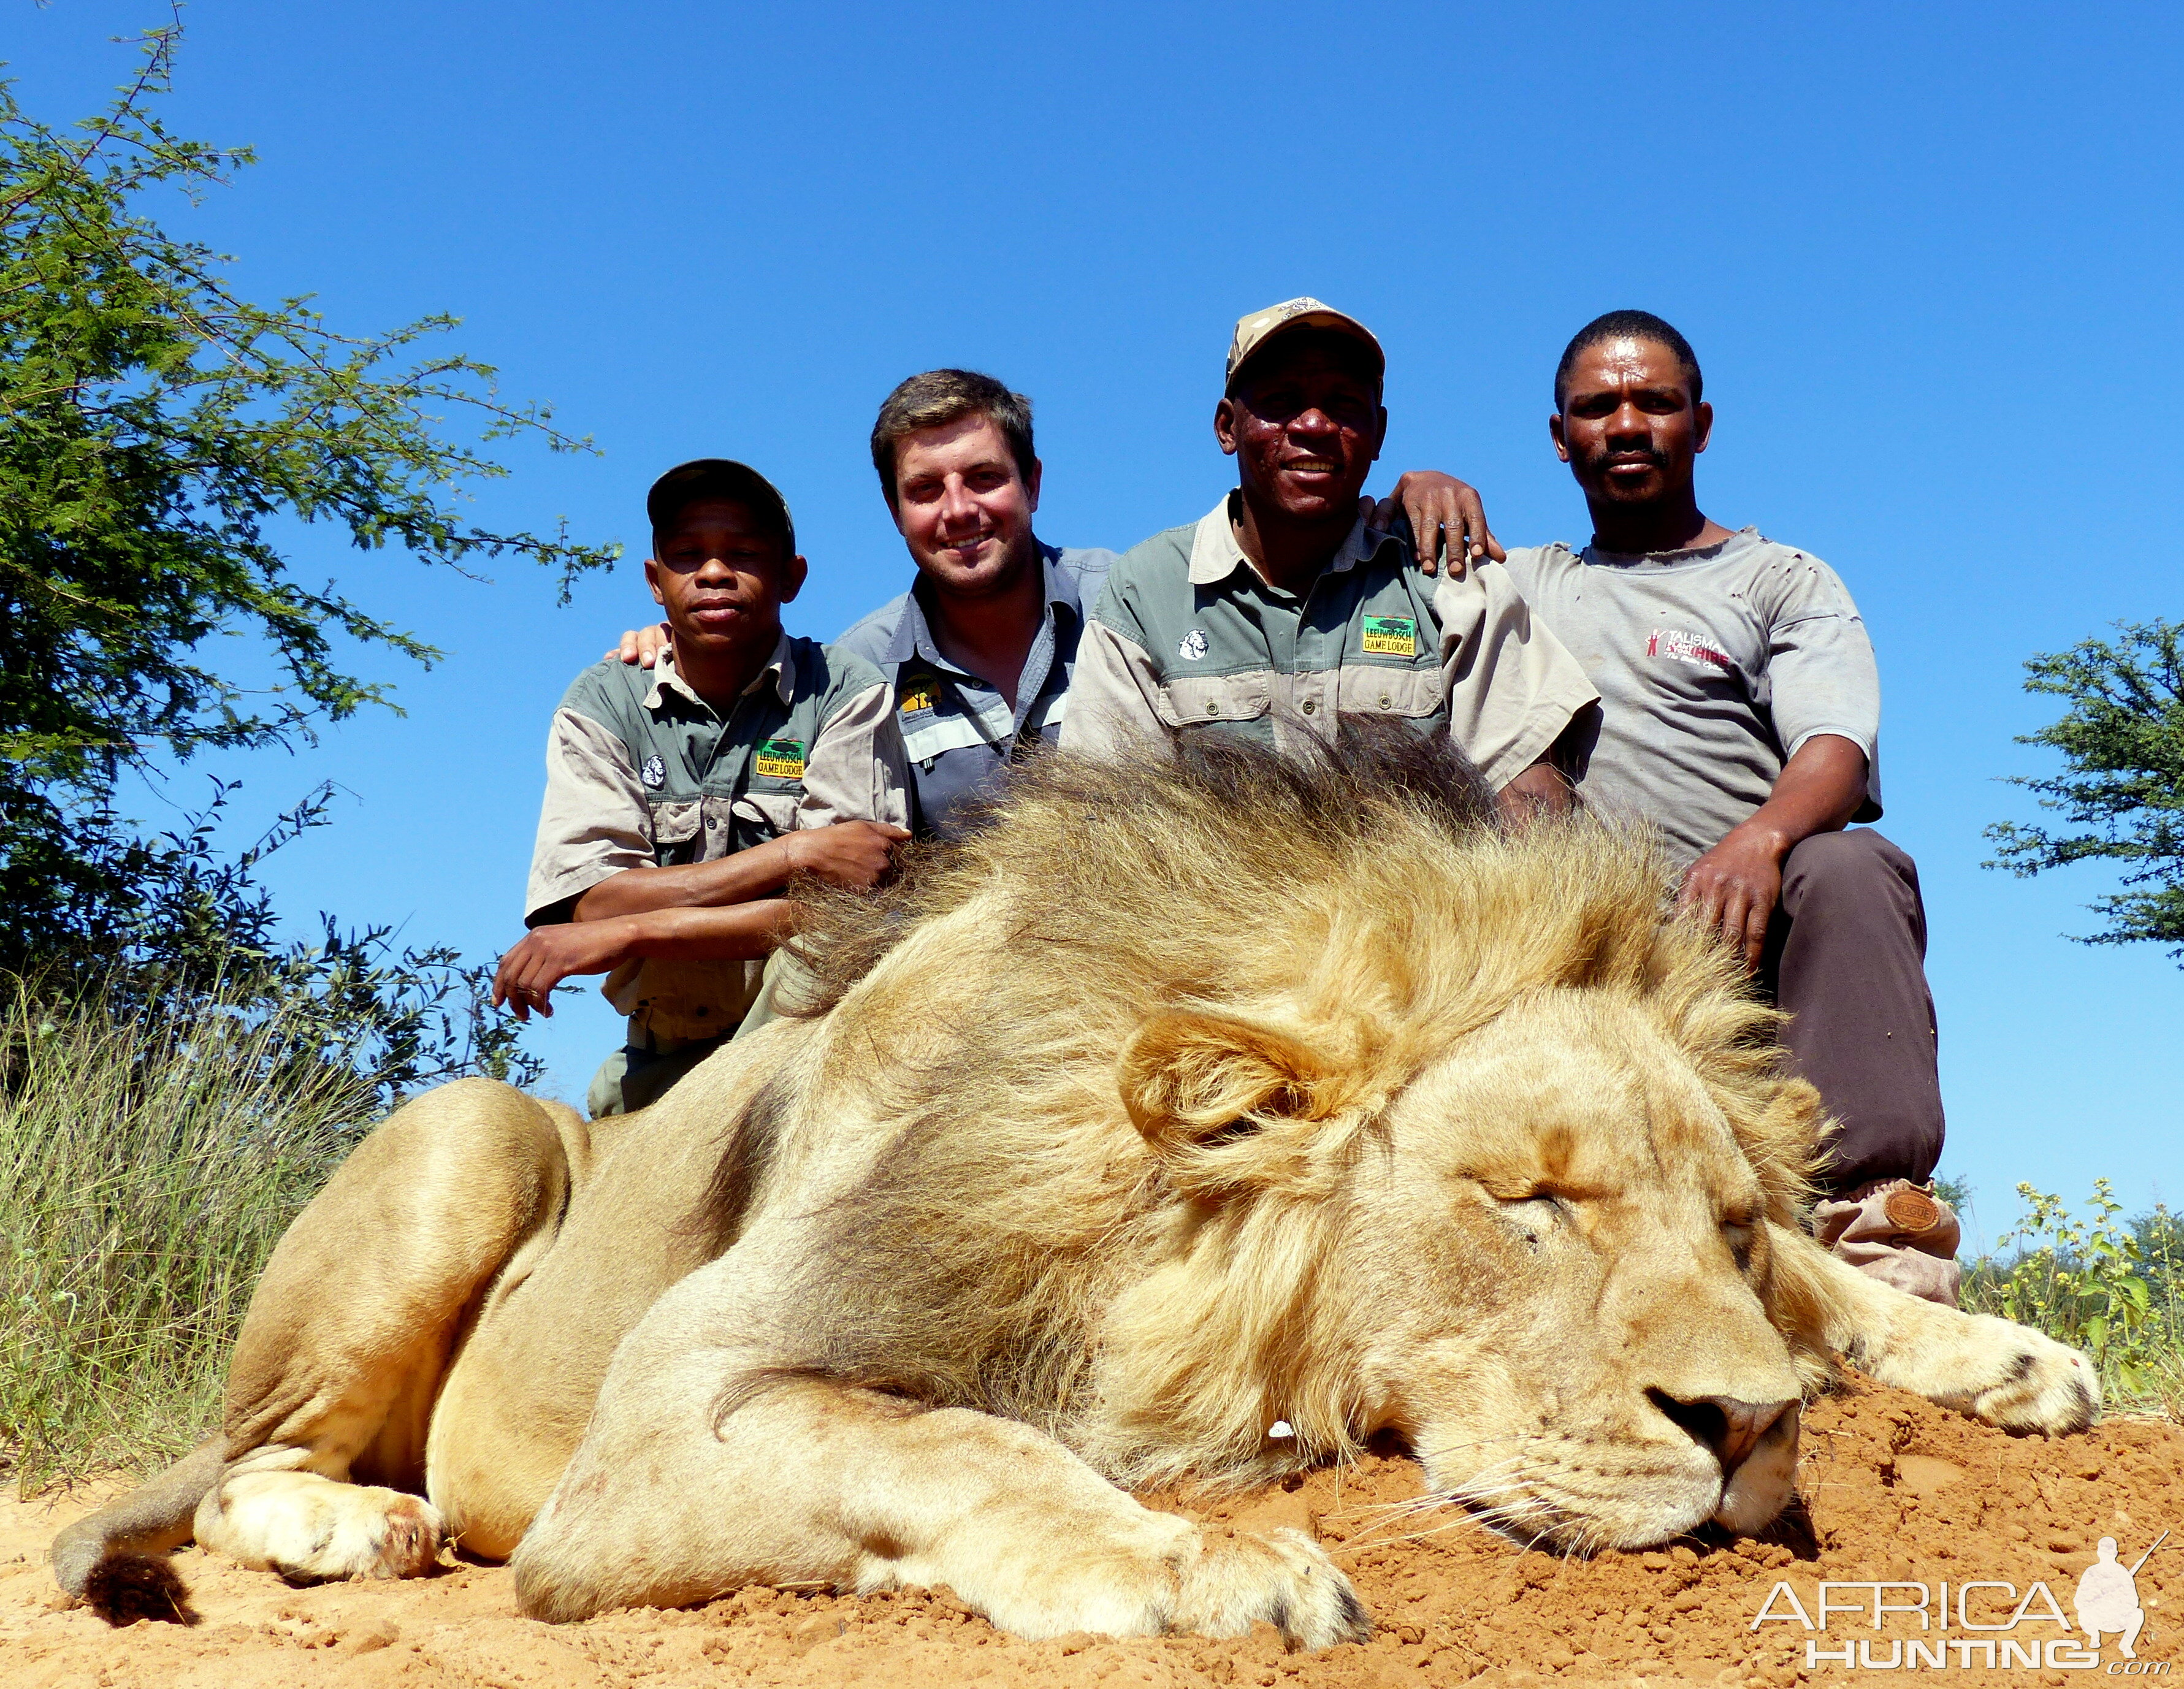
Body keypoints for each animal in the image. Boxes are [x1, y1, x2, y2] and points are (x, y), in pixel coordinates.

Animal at [55, 730, 2096, 1643]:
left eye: (1727, 1226)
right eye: (1527, 1202)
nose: (1749, 1435)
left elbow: (1830, 1292)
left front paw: (1993, 1354)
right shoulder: (662, 1415)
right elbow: (950, 1442)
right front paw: (1199, 1559)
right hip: (469, 1133)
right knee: (239, 1468)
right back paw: (358, 1527)